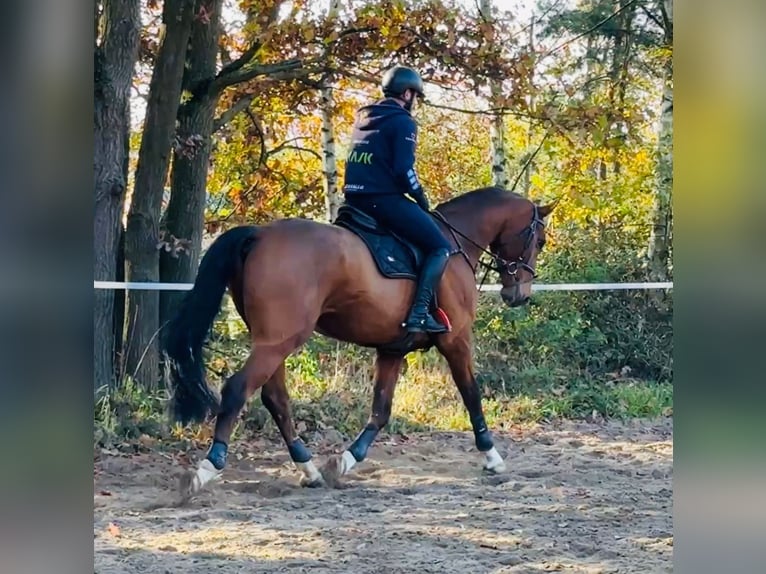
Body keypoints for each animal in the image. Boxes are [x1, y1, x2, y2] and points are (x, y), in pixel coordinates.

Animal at [164, 186, 560, 500]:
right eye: (538, 241)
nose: (518, 294)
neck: (456, 244)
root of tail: (259, 235)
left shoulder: (392, 349)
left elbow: (380, 411)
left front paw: (345, 460)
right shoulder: (457, 340)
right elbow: (471, 394)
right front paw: (492, 457)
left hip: (272, 341)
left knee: (275, 398)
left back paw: (309, 470)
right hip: (278, 341)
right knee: (237, 390)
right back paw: (207, 469)